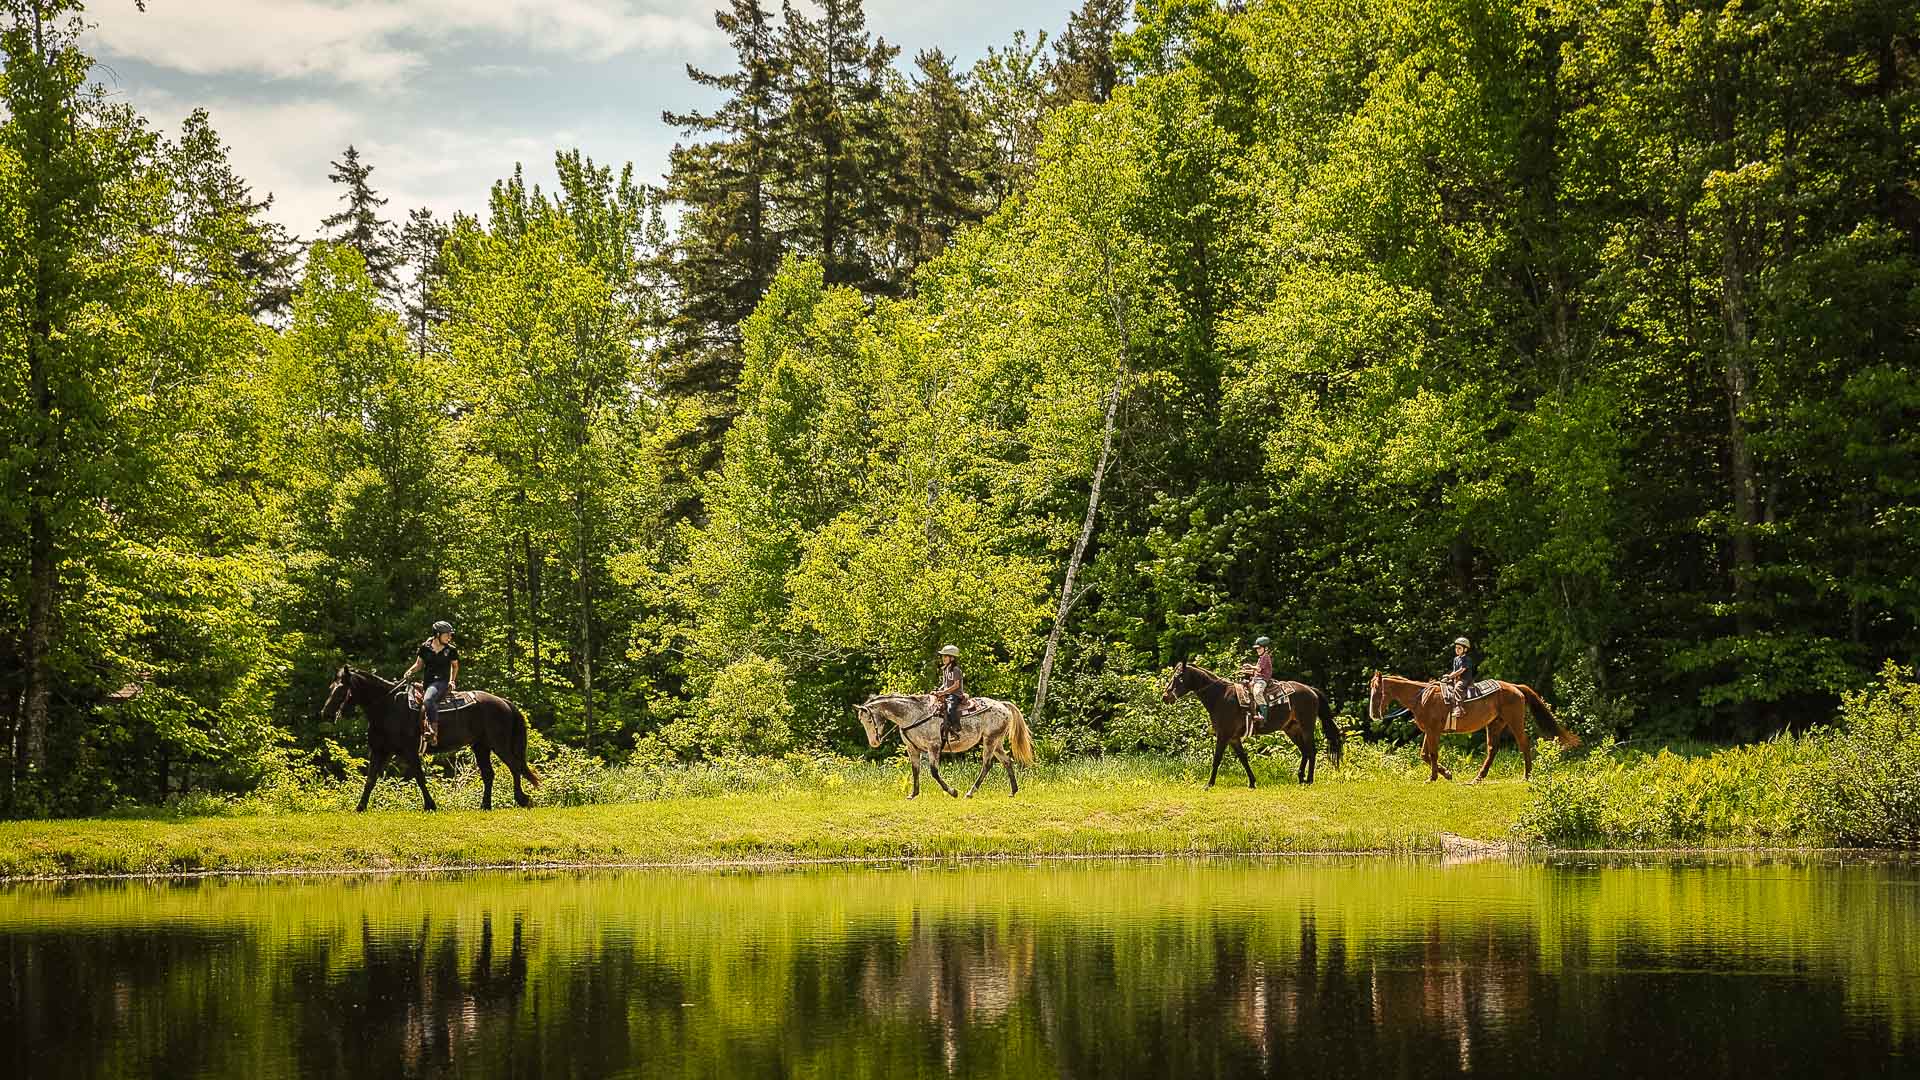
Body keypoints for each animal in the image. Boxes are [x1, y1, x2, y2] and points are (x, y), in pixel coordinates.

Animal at [321, 665, 542, 811]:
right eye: (330, 687)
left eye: (341, 689)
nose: (326, 714)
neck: (388, 706)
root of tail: (503, 702)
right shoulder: (380, 751)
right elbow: (371, 779)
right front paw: (360, 807)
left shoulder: (409, 752)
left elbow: (419, 777)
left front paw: (430, 805)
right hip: (481, 746)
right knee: (489, 774)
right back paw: (485, 805)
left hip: (499, 744)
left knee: (514, 766)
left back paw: (522, 799)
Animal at [855, 693, 1035, 799]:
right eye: (861, 721)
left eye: (869, 719)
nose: (874, 742)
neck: (912, 715)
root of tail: (1002, 705)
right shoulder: (912, 749)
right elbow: (915, 771)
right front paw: (913, 794)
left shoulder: (933, 746)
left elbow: (934, 772)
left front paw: (953, 792)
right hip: (996, 742)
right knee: (1007, 762)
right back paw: (1013, 791)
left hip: (989, 741)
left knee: (987, 765)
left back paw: (970, 792)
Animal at [1161, 661, 1344, 787]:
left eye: (1179, 677)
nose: (1165, 696)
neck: (1220, 696)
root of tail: (1312, 690)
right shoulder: (1234, 738)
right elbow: (1243, 759)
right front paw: (1252, 782)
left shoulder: (1223, 735)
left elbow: (1217, 759)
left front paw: (1209, 784)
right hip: (1291, 729)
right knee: (1305, 751)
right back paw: (1300, 778)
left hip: (1307, 727)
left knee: (1312, 751)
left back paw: (1309, 780)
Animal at [1367, 671, 1580, 783]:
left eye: (1377, 691)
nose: (1373, 714)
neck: (1422, 698)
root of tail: (1516, 687)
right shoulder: (1429, 731)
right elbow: (1425, 755)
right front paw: (1446, 774)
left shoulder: (1434, 731)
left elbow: (1433, 754)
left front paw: (1434, 777)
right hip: (1494, 724)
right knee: (1492, 749)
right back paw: (1479, 777)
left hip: (1515, 721)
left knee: (1524, 745)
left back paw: (1527, 775)